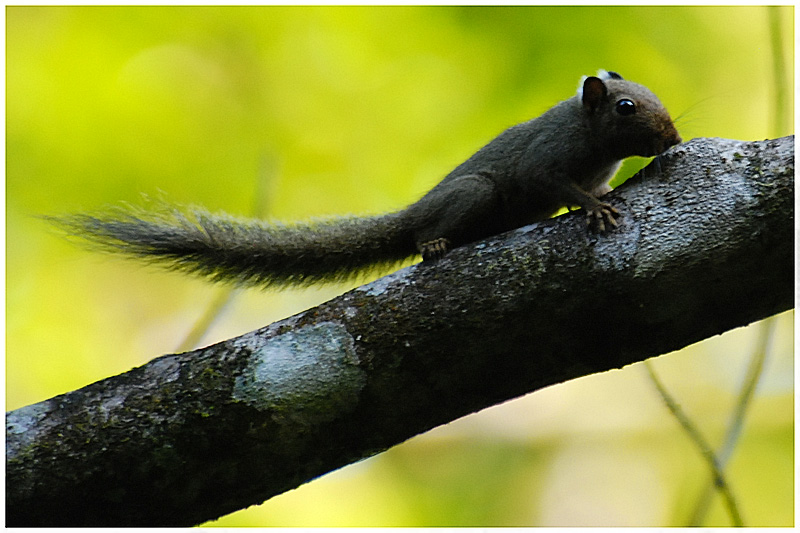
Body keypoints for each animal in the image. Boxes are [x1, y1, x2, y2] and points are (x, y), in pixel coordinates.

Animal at [53, 70, 680, 288]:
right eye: (626, 106)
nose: (672, 139)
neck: (592, 138)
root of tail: (412, 214)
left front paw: (603, 194)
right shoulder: (546, 157)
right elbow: (553, 182)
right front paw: (592, 207)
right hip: (473, 194)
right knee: (430, 232)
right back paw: (433, 242)